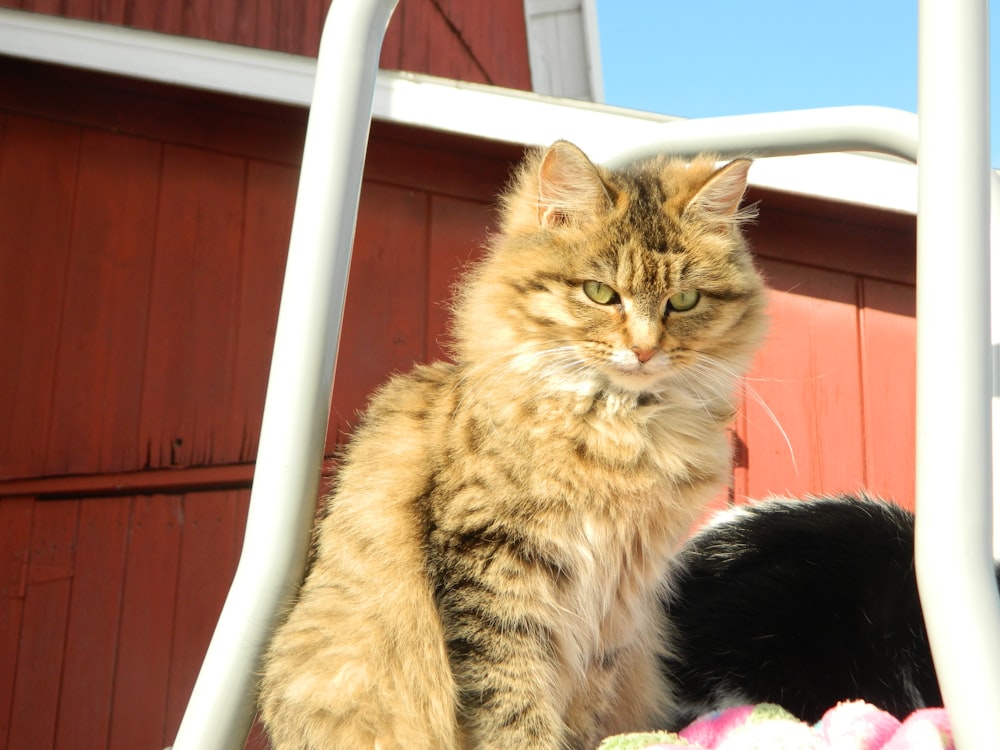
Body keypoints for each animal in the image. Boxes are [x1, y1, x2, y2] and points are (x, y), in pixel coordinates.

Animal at [258, 141, 764, 750]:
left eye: (684, 301)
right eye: (601, 293)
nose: (644, 351)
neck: (620, 429)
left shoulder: (617, 600)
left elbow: (584, 710)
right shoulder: (494, 563)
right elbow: (513, 703)